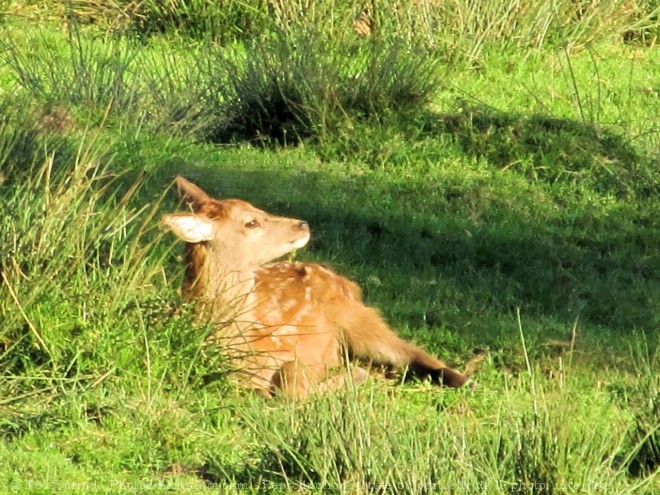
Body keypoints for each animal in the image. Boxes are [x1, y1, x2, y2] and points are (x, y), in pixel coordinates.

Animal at [164, 175, 474, 400]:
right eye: (251, 222)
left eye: (256, 210)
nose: (302, 224)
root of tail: (346, 282)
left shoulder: (300, 350)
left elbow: (291, 389)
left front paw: (353, 375)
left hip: (358, 318)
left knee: (409, 350)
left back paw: (462, 379)